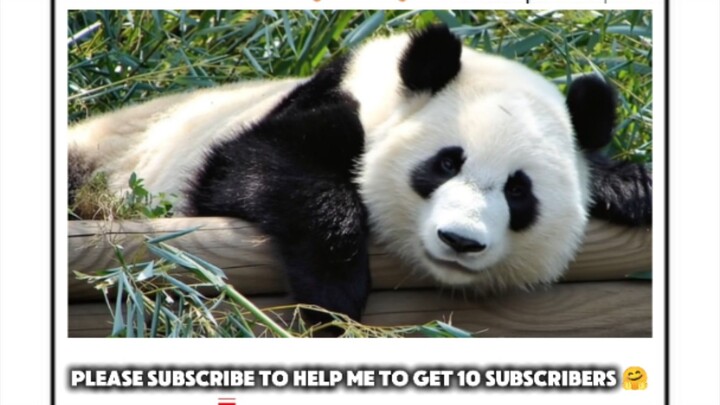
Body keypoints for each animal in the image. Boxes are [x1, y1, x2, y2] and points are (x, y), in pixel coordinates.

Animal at [68, 25, 652, 322]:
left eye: (518, 191)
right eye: (446, 163)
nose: (460, 241)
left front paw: (630, 187)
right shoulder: (322, 109)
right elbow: (252, 167)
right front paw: (334, 292)